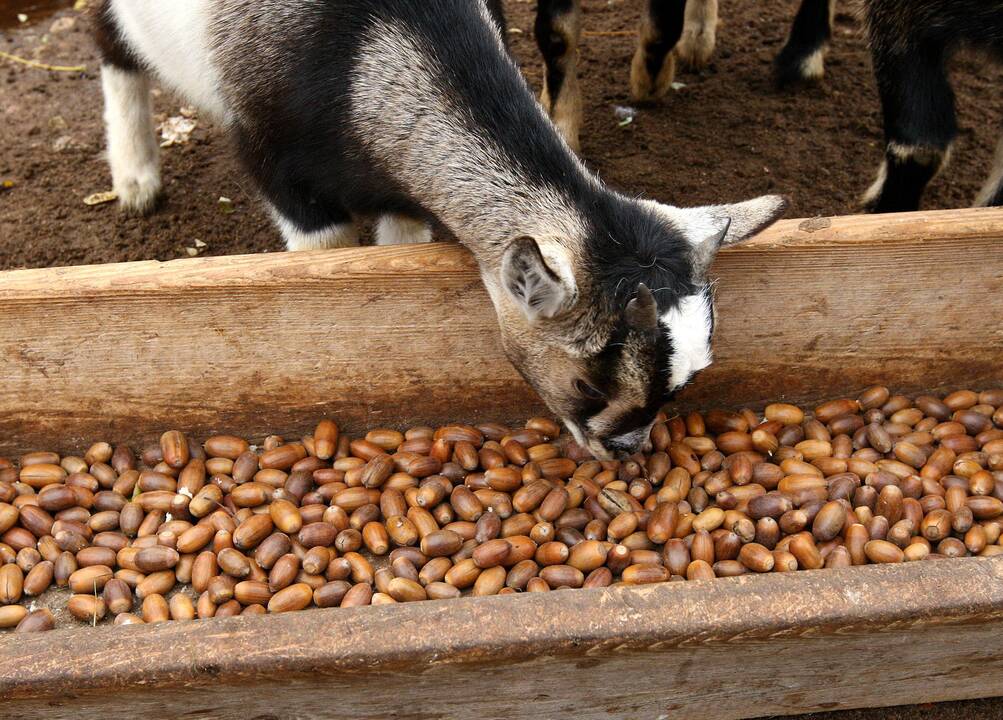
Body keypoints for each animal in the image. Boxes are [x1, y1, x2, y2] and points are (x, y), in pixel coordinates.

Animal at [94, 0, 786, 459]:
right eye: (588, 381)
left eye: (685, 382)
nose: (627, 450)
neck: (361, 51)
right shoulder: (280, 165)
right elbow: (321, 251)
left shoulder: (402, 190)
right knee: (112, 44)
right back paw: (134, 176)